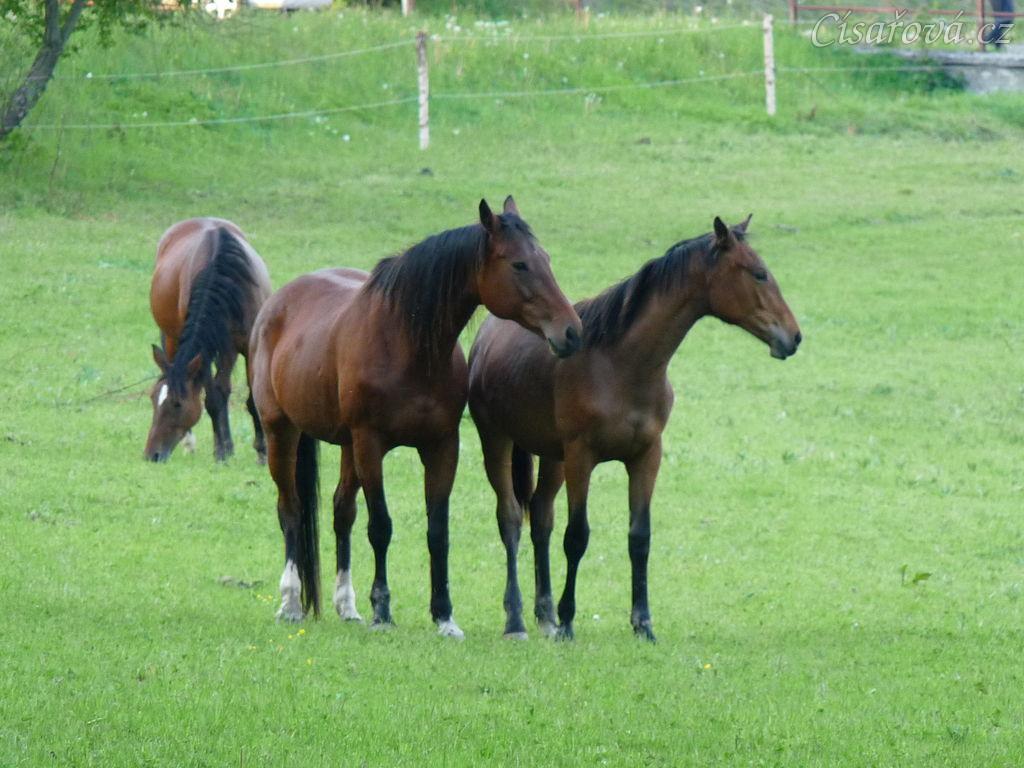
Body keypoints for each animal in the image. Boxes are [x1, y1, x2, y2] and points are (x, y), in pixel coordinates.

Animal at [145, 217, 272, 463]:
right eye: (153, 398)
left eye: (177, 404)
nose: (152, 455)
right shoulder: (206, 352)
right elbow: (213, 398)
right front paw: (222, 450)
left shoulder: (247, 347)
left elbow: (252, 398)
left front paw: (262, 451)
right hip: (173, 338)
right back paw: (192, 443)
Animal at [249, 197, 583, 637]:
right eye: (519, 265)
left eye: (545, 259)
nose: (572, 332)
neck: (405, 344)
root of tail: (279, 302)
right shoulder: (370, 444)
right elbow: (381, 526)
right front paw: (383, 612)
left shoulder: (441, 446)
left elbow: (437, 532)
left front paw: (444, 616)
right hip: (282, 432)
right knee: (290, 509)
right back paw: (290, 602)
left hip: (345, 446)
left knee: (342, 512)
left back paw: (346, 605)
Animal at [468, 215, 801, 641]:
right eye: (759, 273)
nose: (793, 337)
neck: (622, 365)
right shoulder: (582, 457)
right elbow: (577, 537)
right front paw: (569, 621)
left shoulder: (646, 456)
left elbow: (639, 537)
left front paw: (642, 623)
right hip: (499, 442)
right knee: (510, 518)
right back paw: (518, 620)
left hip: (553, 457)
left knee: (541, 518)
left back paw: (545, 616)